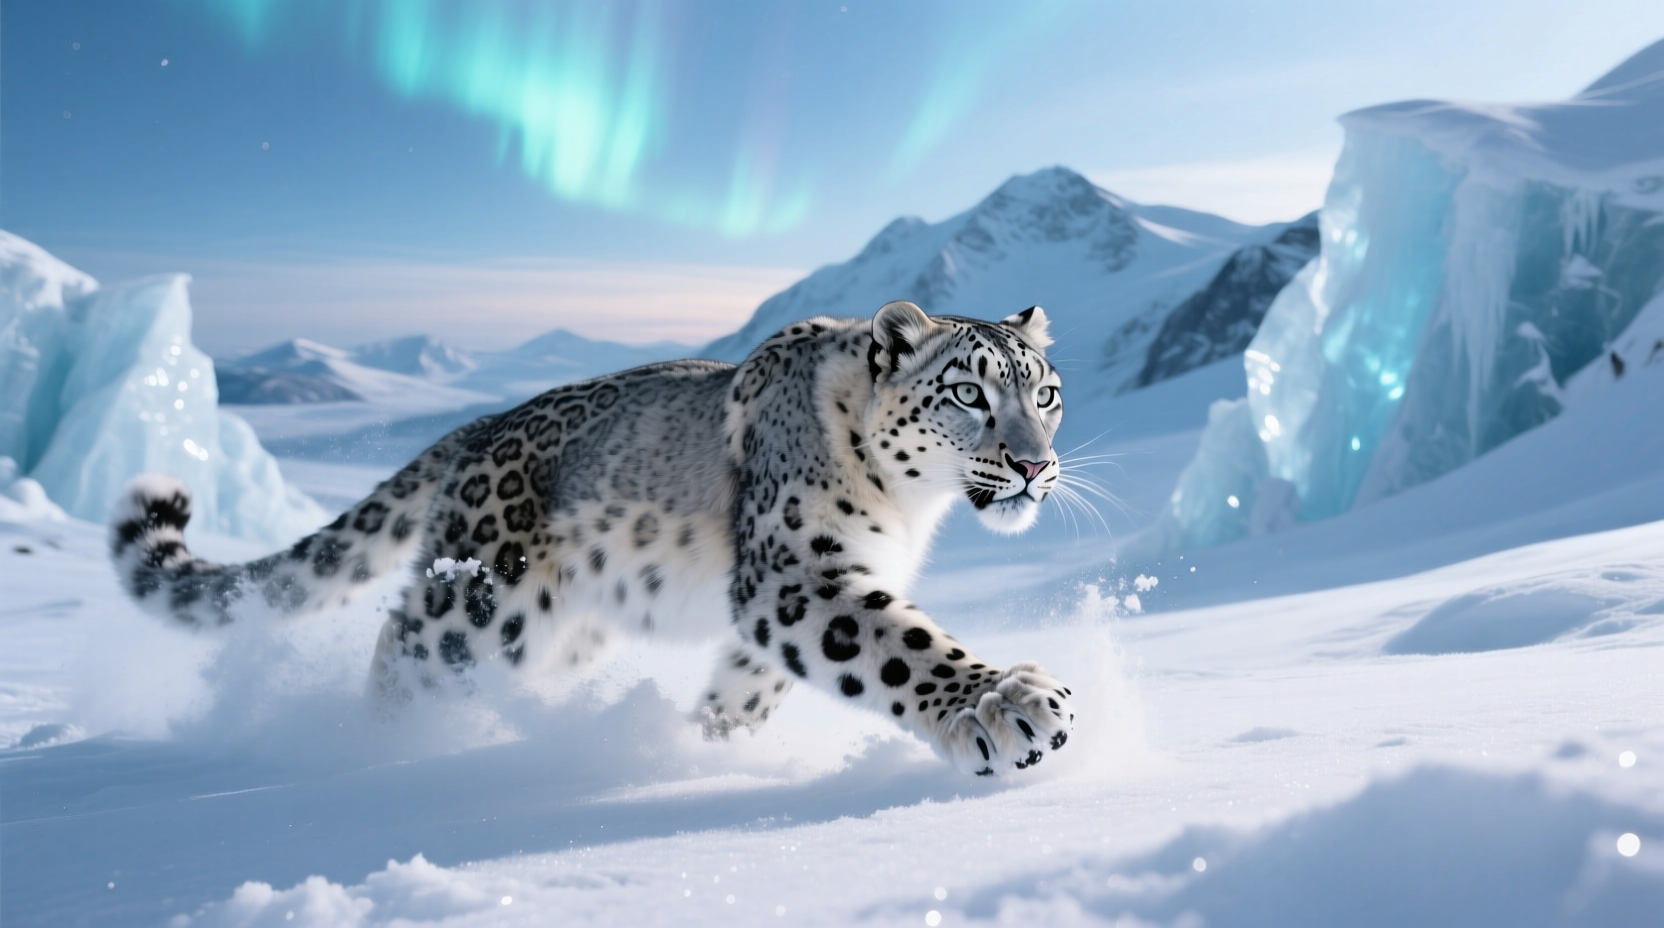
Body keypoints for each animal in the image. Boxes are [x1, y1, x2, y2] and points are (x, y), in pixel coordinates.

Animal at [109, 300, 1073, 776]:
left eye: (1046, 392)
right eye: (968, 392)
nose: (1033, 465)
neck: (910, 507)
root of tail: (477, 426)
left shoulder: (798, 599)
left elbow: (752, 687)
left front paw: (704, 745)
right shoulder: (794, 573)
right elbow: (899, 649)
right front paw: (1008, 705)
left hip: (567, 627)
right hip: (481, 602)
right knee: (402, 645)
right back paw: (380, 752)